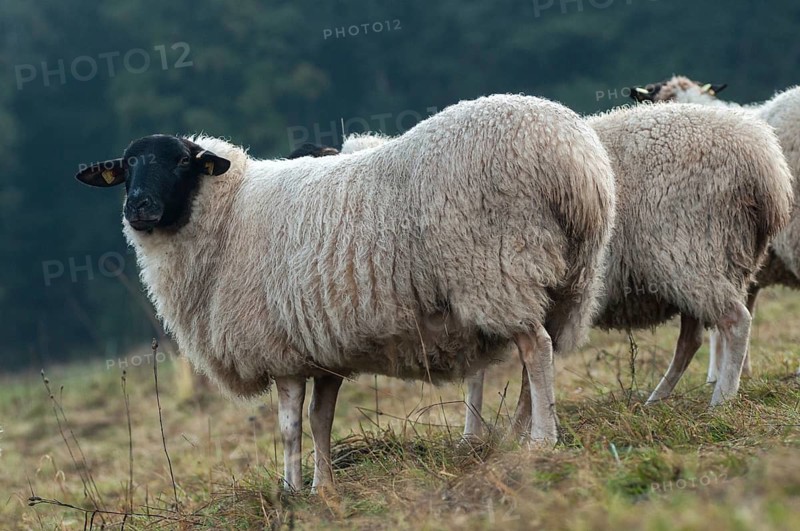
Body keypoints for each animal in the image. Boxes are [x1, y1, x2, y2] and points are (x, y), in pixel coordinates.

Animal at [74, 94, 617, 491]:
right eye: (127, 167)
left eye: (182, 163)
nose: (139, 208)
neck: (228, 216)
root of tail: (574, 159)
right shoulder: (320, 349)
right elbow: (321, 420)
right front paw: (323, 488)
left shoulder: (279, 348)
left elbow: (289, 426)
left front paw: (291, 490)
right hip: (567, 277)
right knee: (539, 350)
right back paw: (518, 435)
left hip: (497, 270)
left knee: (536, 349)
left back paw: (541, 442)